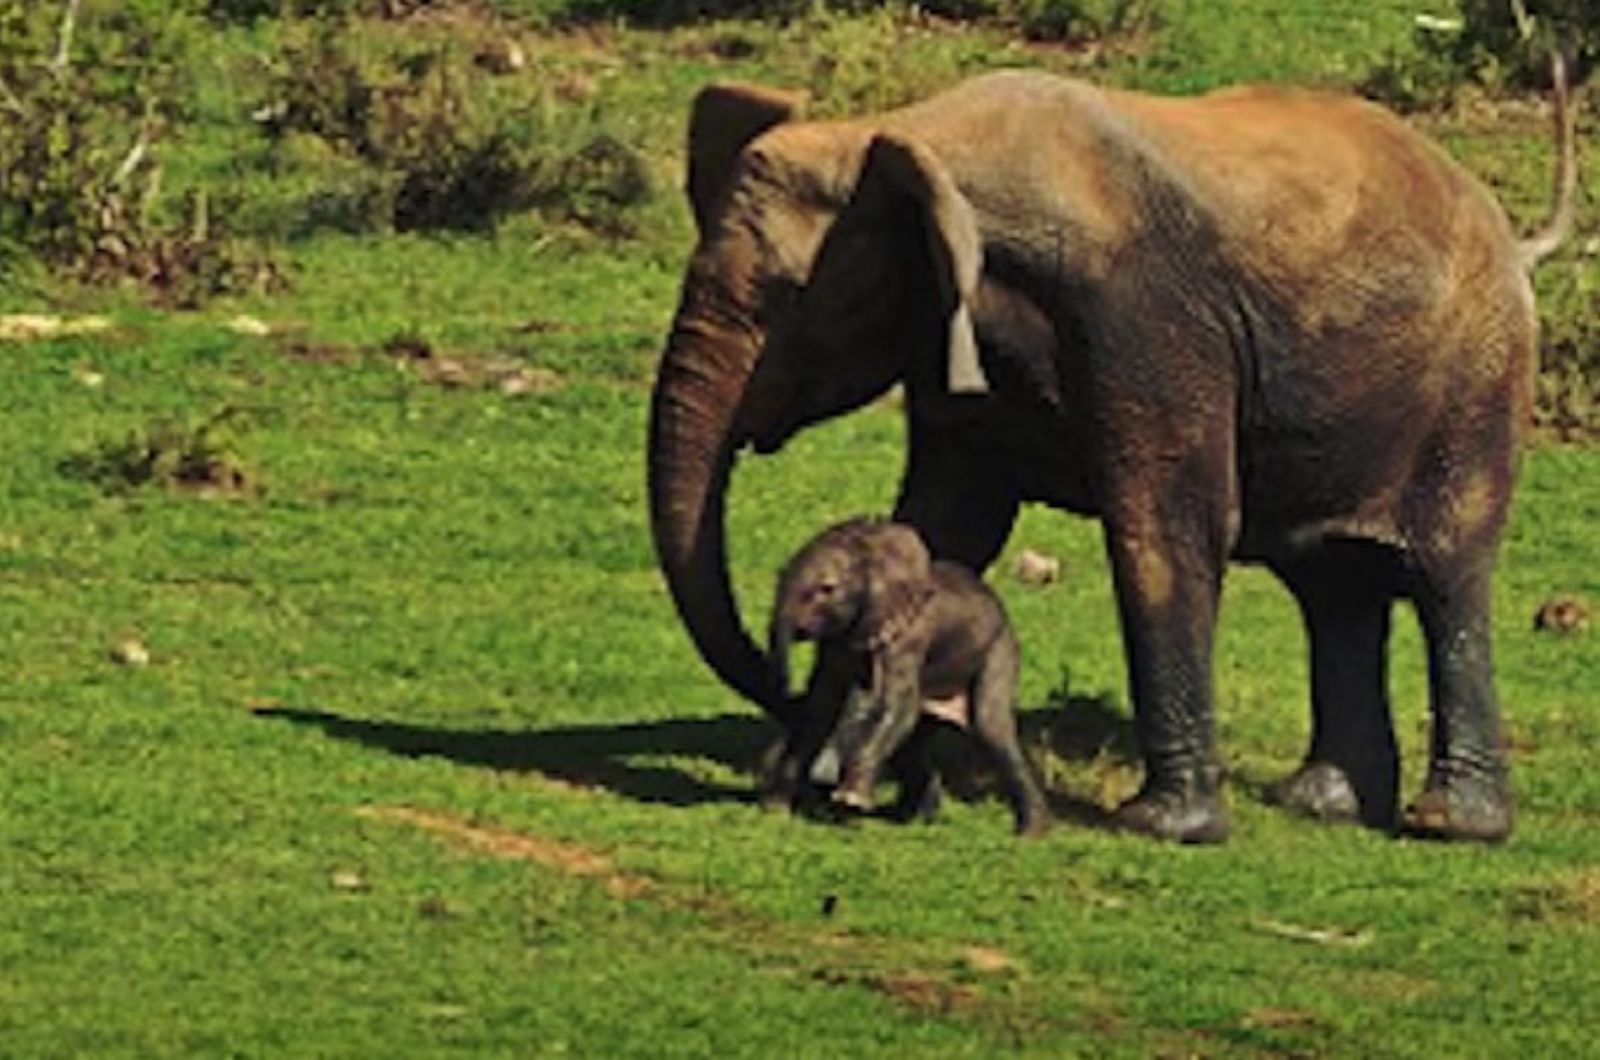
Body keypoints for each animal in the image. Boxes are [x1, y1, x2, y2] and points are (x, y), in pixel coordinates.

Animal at [771, 515, 1049, 839]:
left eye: (827, 588)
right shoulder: (833, 644)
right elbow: (821, 707)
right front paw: (776, 810)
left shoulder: (910, 639)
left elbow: (896, 707)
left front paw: (849, 801)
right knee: (913, 738)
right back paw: (912, 817)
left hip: (999, 650)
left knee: (990, 726)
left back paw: (1030, 834)